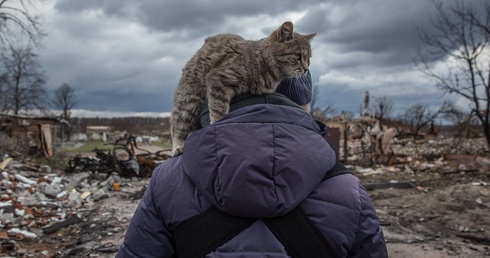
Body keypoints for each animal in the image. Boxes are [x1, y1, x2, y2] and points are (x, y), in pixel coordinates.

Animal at [170, 21, 316, 155]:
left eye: (309, 58)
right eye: (298, 56)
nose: (306, 69)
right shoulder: (218, 78)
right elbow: (218, 111)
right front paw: (217, 125)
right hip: (189, 102)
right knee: (176, 125)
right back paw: (177, 147)